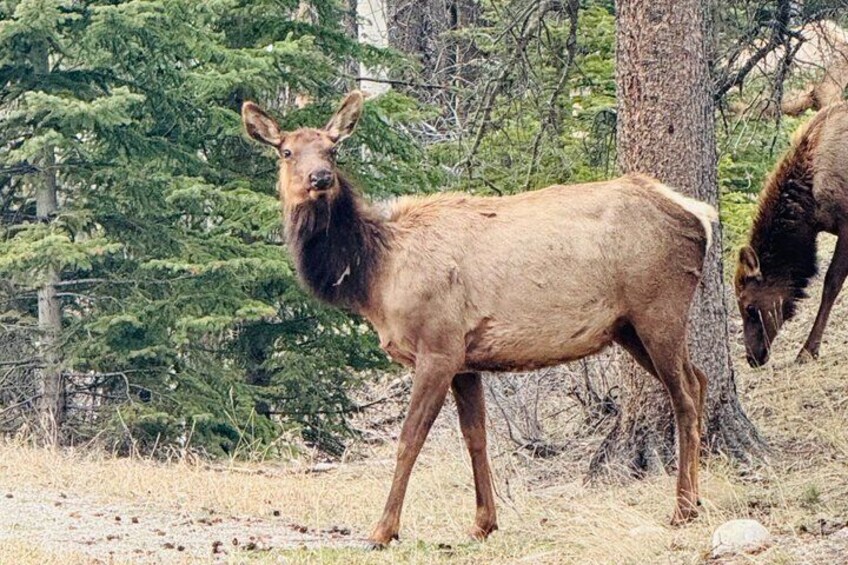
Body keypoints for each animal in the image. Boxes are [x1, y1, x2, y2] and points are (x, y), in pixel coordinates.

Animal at [241, 91, 717, 548]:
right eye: (286, 151)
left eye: (333, 148)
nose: (320, 178)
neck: (375, 277)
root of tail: (700, 217)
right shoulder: (465, 359)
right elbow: (476, 437)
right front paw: (483, 523)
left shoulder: (438, 346)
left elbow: (409, 439)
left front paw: (382, 530)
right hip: (628, 328)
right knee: (700, 377)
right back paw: (695, 500)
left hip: (659, 308)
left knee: (684, 394)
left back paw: (683, 509)